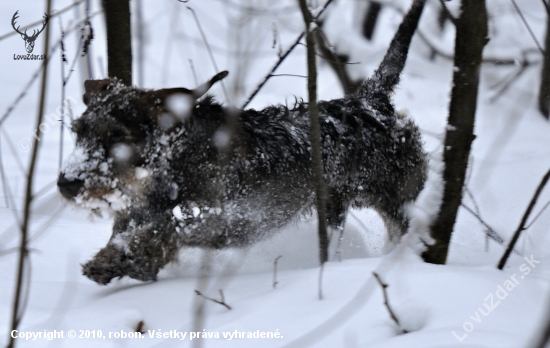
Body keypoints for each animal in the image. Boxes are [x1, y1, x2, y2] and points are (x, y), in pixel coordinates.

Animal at [57, 0, 426, 284]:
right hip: (335, 208)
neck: (178, 162)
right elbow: (134, 229)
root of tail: (371, 100)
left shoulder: (240, 220)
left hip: (398, 200)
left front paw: (134, 259)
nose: (67, 183)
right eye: (79, 131)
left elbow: (173, 229)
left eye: (117, 134)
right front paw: (112, 258)